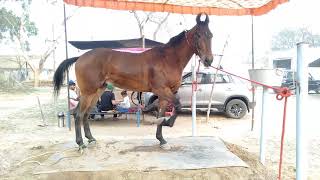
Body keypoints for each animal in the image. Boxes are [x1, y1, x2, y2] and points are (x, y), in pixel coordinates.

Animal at [53, 12, 212, 150]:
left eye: (210, 35)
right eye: (198, 35)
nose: (208, 60)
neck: (167, 59)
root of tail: (80, 57)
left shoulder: (165, 94)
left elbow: (162, 112)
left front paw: (161, 139)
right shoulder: (162, 90)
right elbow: (178, 106)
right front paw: (166, 123)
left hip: (96, 92)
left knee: (85, 114)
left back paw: (91, 139)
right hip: (88, 92)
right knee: (78, 114)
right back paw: (80, 144)